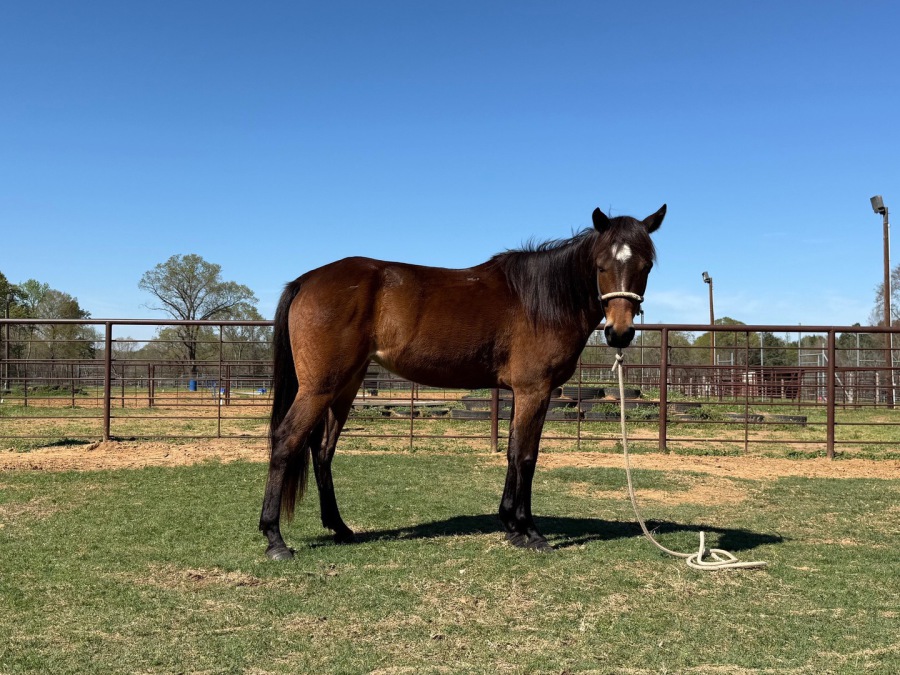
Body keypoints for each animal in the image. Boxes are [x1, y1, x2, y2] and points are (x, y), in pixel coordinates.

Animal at [260, 203, 665, 559]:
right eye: (601, 265)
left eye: (646, 265)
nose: (619, 333)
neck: (541, 300)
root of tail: (306, 280)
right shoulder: (535, 391)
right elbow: (526, 456)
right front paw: (530, 532)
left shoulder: (520, 393)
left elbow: (512, 452)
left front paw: (511, 526)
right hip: (320, 387)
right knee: (286, 440)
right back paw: (275, 539)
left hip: (345, 386)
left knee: (322, 449)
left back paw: (341, 528)